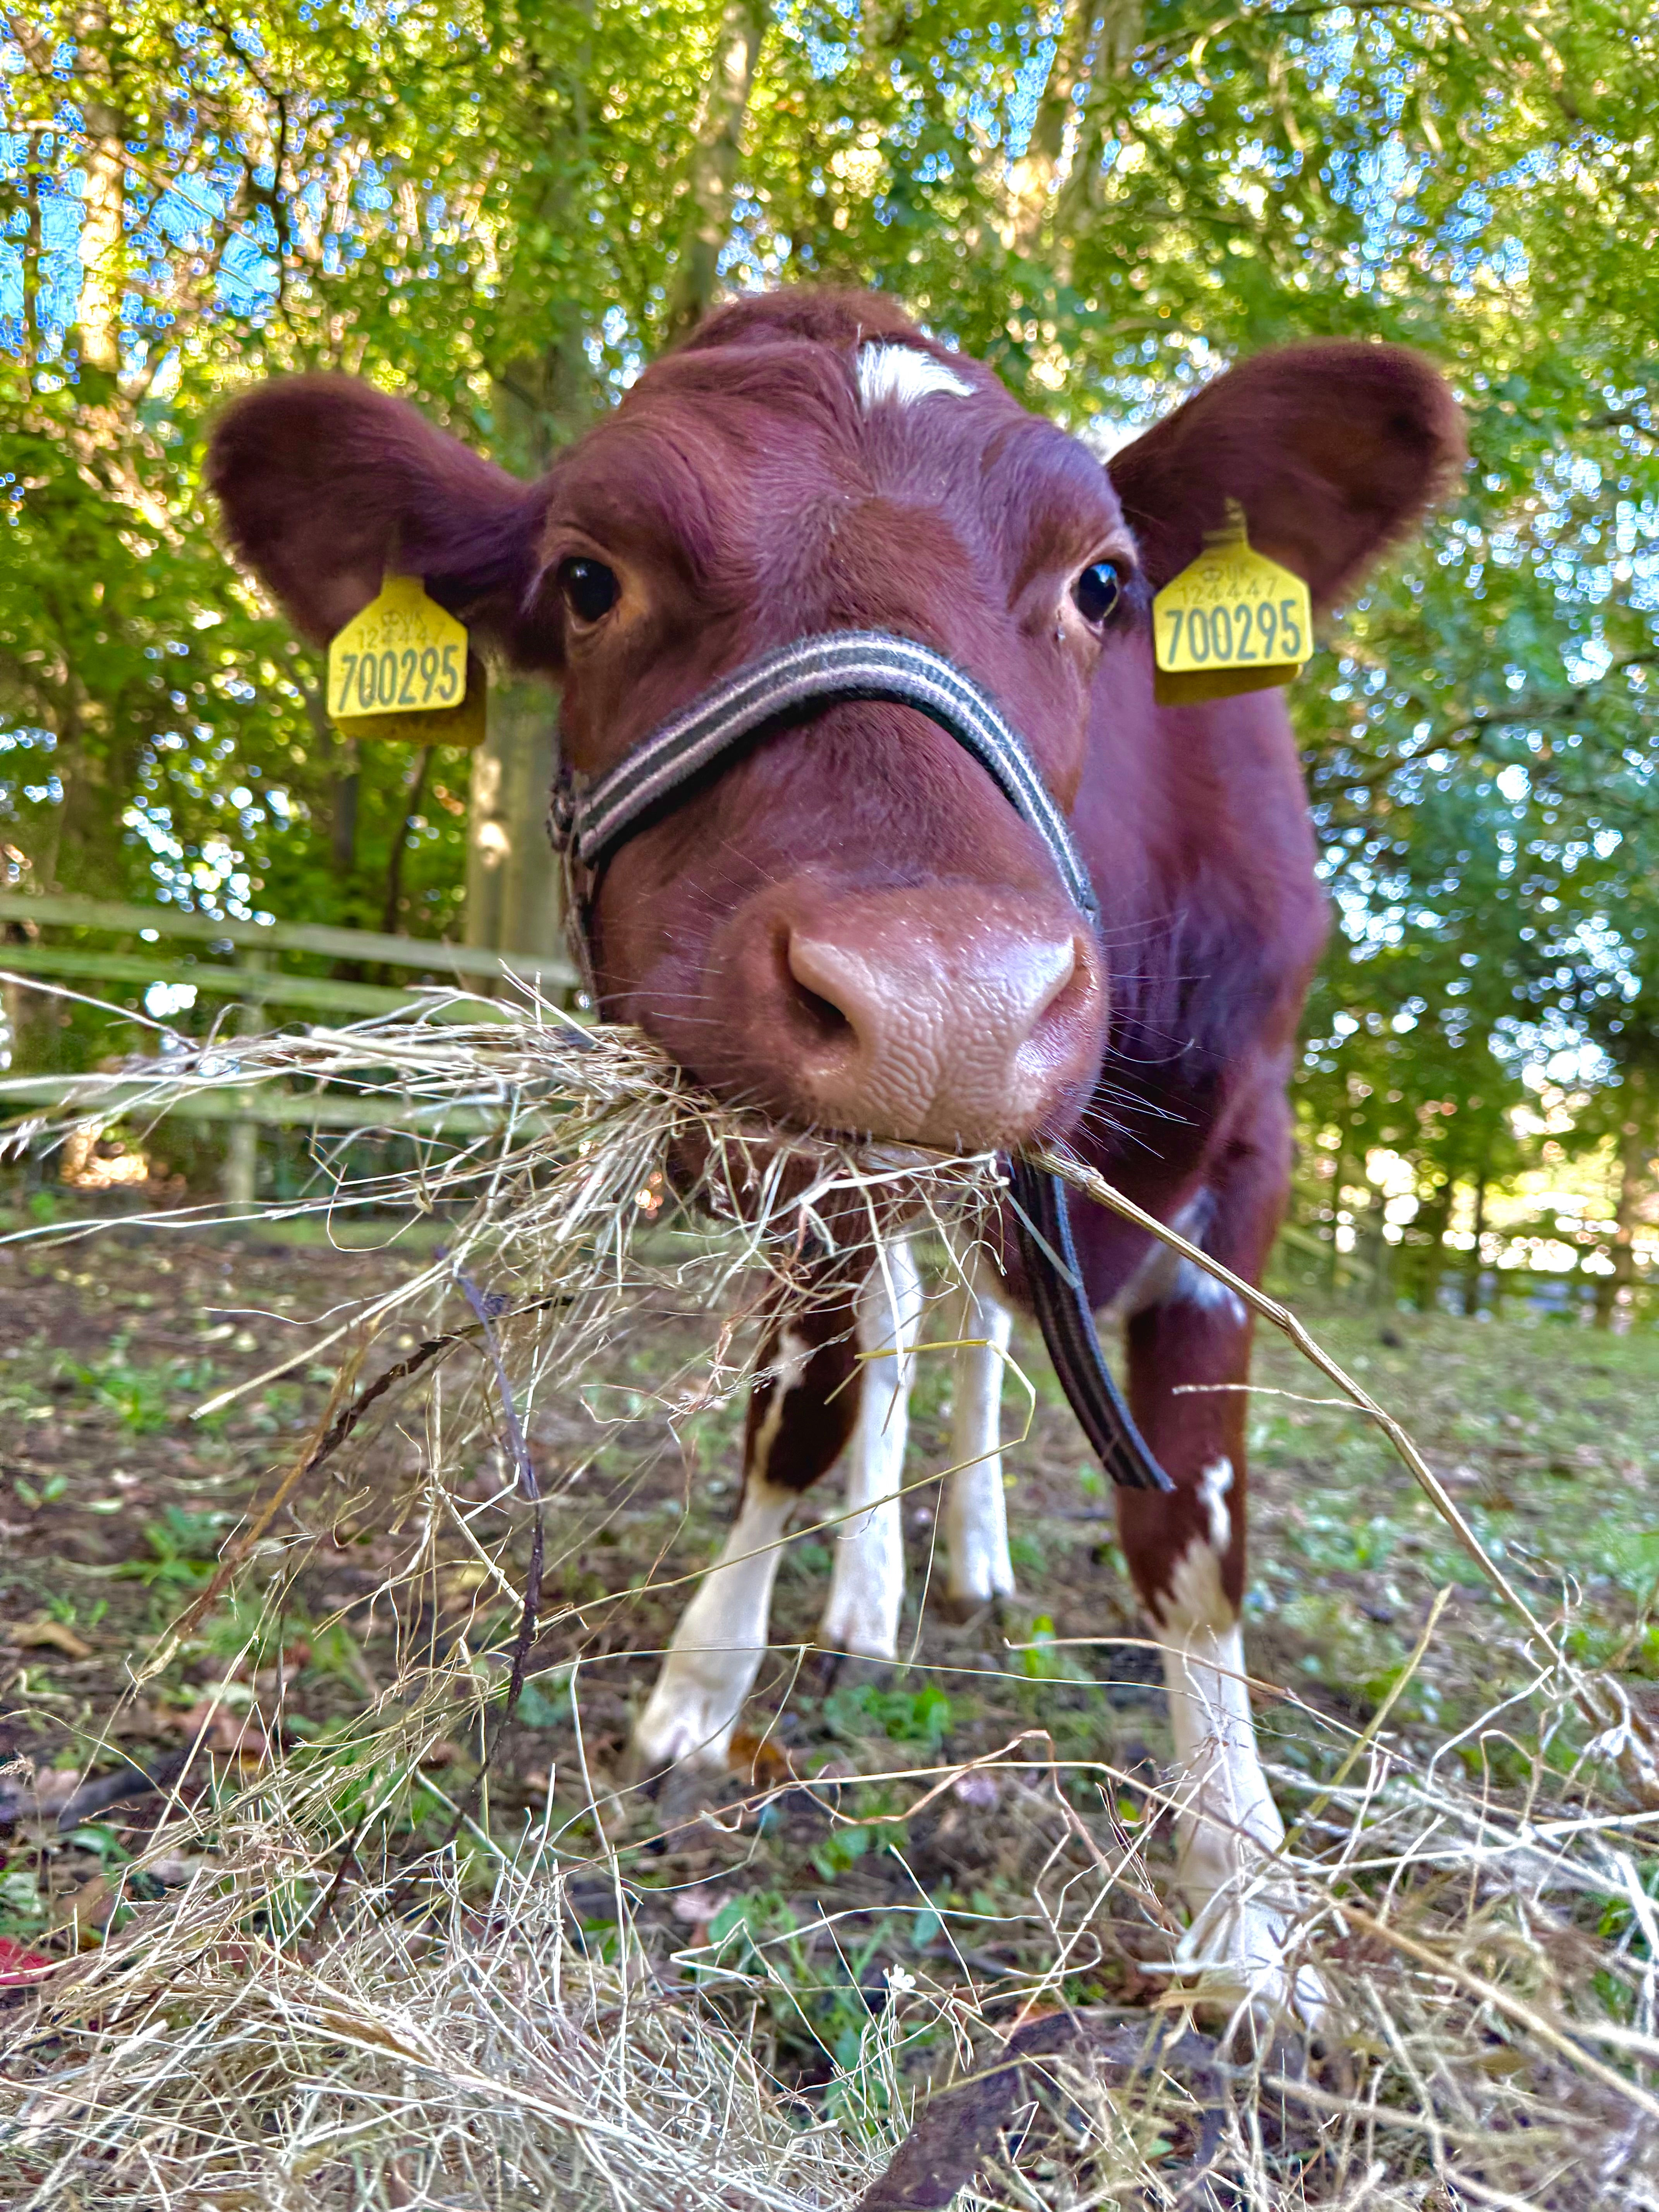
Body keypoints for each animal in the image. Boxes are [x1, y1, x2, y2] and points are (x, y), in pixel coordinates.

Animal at [209, 289, 1462, 2011]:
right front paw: (700, 1686)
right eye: (586, 578)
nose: (944, 1001)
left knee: (977, 1327)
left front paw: (1243, 1912)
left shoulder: (1249, 1147)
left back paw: (962, 1562)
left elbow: (1195, 1534)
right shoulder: (797, 1159)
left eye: (1103, 582)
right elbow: (797, 1423)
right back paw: (864, 1591)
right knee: (897, 1330)